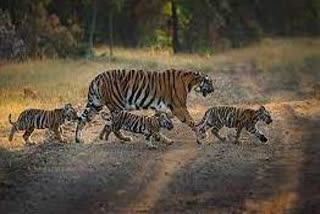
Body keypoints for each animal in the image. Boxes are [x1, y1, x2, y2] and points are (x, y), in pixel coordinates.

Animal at [76, 68, 214, 143]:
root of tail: (97, 78)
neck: (190, 81)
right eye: (209, 82)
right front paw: (202, 135)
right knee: (114, 126)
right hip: (117, 106)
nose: (213, 90)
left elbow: (160, 121)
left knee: (82, 120)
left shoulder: (162, 108)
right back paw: (125, 138)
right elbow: (191, 121)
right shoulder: (179, 107)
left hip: (95, 105)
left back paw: (79, 139)